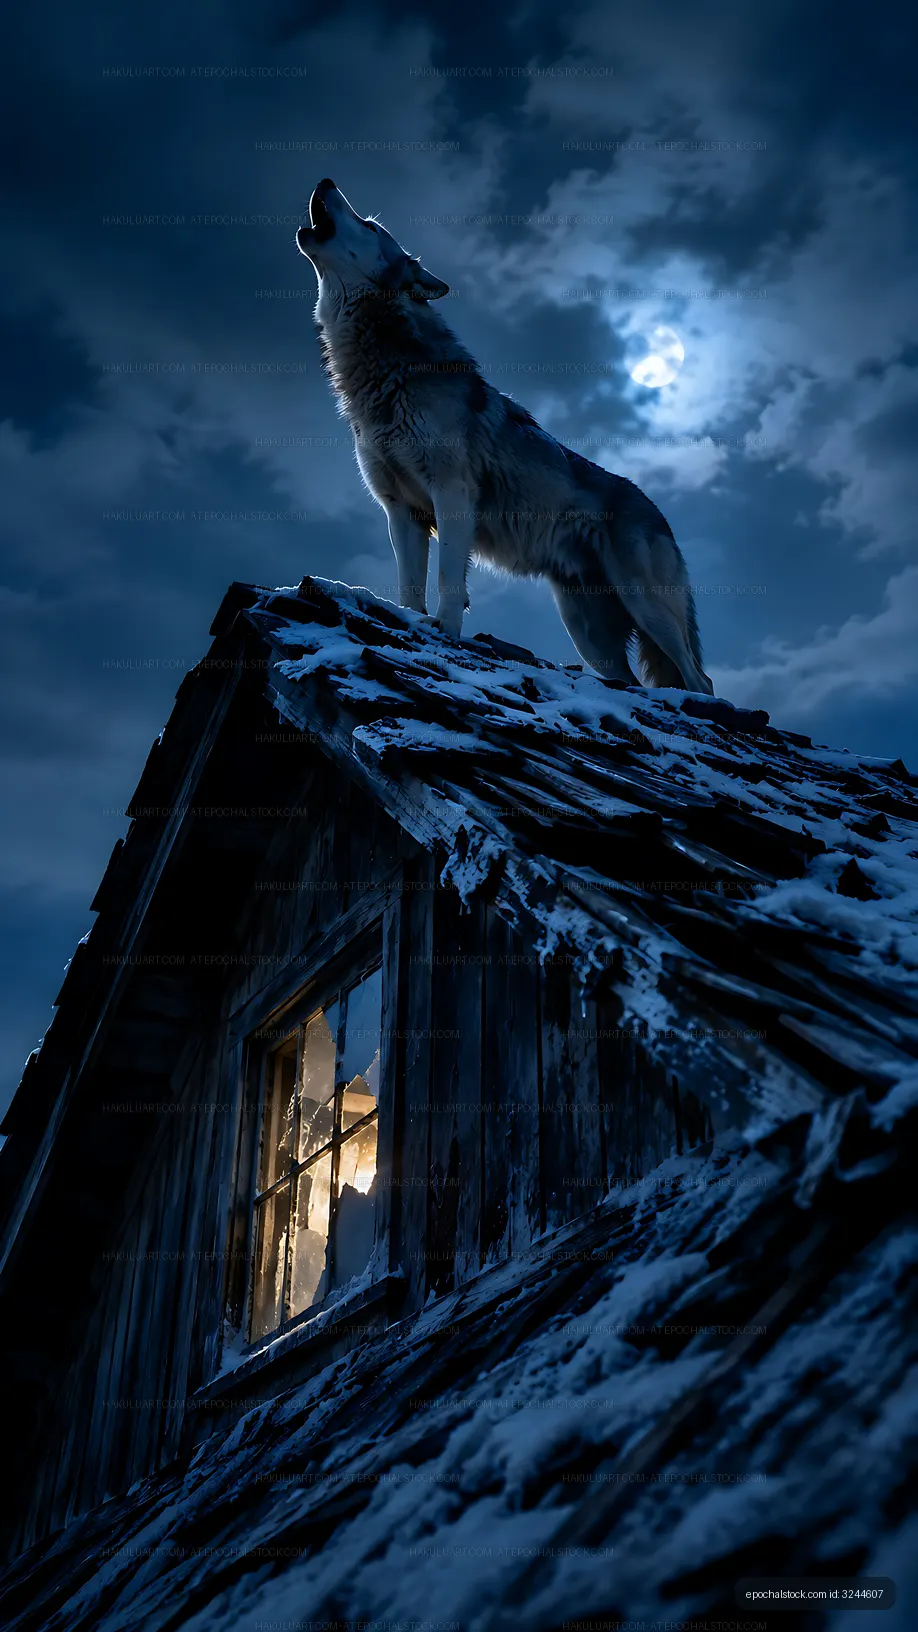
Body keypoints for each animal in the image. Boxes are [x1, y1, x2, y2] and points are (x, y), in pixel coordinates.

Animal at [296, 179, 714, 692]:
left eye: (371, 226)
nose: (326, 182)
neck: (388, 372)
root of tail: (656, 510)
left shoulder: (452, 495)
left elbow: (448, 580)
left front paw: (446, 630)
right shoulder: (401, 510)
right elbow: (409, 585)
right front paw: (411, 622)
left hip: (646, 605)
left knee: (700, 679)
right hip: (589, 636)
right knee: (633, 679)